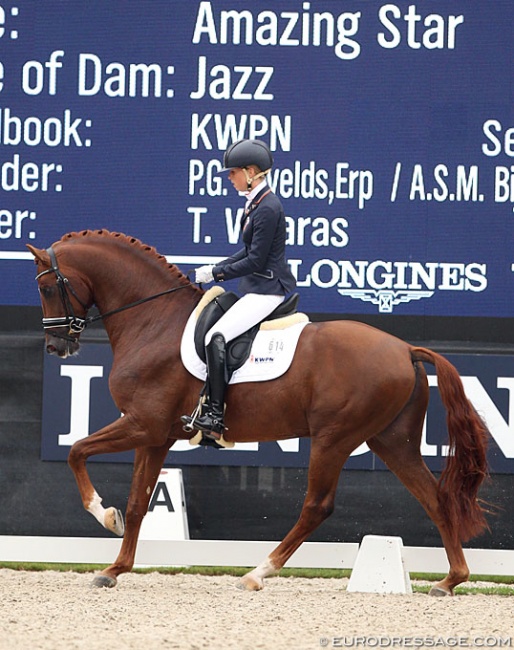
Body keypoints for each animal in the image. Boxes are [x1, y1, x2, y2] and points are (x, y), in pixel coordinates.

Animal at [28, 230, 488, 596]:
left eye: (48, 288)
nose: (56, 347)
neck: (153, 321)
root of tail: (406, 349)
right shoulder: (155, 435)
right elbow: (139, 501)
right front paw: (114, 568)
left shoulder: (143, 424)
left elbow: (77, 451)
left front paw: (105, 515)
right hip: (393, 440)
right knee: (435, 498)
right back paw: (450, 580)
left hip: (334, 438)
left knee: (317, 506)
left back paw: (256, 573)